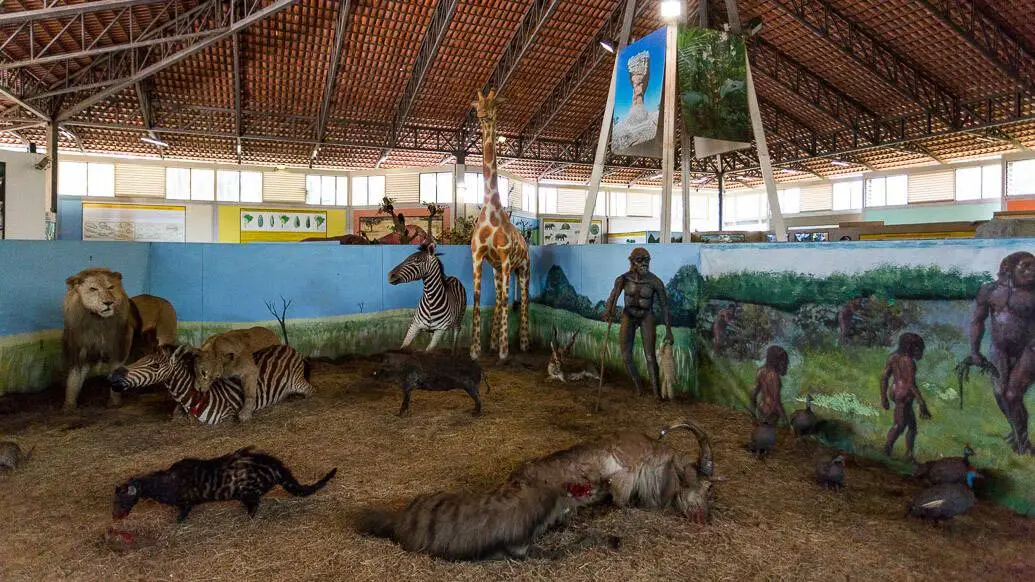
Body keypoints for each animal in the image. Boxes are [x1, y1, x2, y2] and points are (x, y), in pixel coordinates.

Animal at [62, 267, 176, 408]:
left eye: (111, 287)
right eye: (93, 289)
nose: (108, 302)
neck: (96, 320)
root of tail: (162, 299)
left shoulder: (119, 351)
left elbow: (116, 374)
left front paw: (115, 403)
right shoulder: (80, 353)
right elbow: (73, 381)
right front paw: (68, 406)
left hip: (165, 338)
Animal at [109, 341, 312, 424]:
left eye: (155, 365)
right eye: (139, 359)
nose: (113, 377)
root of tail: (287, 347)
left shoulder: (228, 415)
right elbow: (177, 416)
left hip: (298, 383)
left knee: (310, 391)